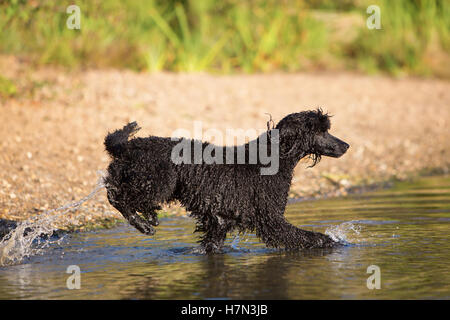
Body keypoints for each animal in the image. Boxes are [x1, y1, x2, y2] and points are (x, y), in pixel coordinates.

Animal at [104, 110, 348, 252]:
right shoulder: (270, 220)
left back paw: (150, 217)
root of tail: (129, 145)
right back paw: (143, 224)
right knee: (116, 196)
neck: (273, 156)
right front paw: (332, 241)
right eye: (320, 131)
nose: (346, 145)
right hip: (156, 182)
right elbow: (308, 237)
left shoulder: (219, 223)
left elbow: (211, 245)